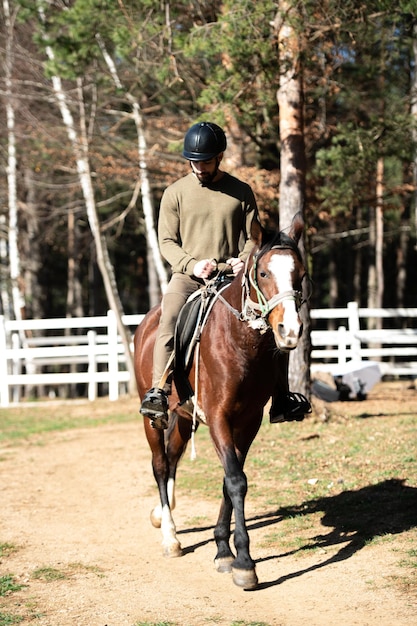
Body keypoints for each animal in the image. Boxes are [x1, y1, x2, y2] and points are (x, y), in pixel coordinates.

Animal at [135, 212, 308, 588]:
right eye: (263, 273)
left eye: (300, 274)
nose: (290, 331)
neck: (240, 342)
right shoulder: (218, 417)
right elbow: (236, 480)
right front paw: (244, 562)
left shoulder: (248, 421)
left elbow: (231, 479)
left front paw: (224, 551)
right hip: (152, 418)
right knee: (160, 465)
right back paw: (170, 536)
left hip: (185, 416)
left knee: (173, 458)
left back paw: (161, 515)